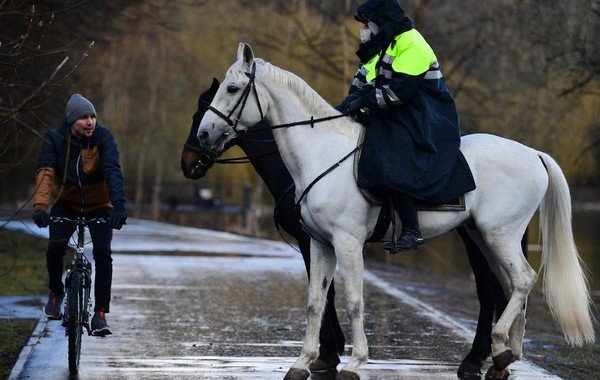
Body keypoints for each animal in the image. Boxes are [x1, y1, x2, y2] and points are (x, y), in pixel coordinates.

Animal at [198, 43, 596, 378]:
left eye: (231, 89)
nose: (203, 137)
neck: (323, 154)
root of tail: (533, 153)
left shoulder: (347, 243)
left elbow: (354, 301)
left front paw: (354, 362)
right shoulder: (321, 244)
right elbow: (315, 302)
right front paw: (302, 363)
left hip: (499, 234)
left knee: (523, 281)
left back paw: (497, 350)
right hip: (484, 237)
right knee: (512, 286)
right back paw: (504, 357)